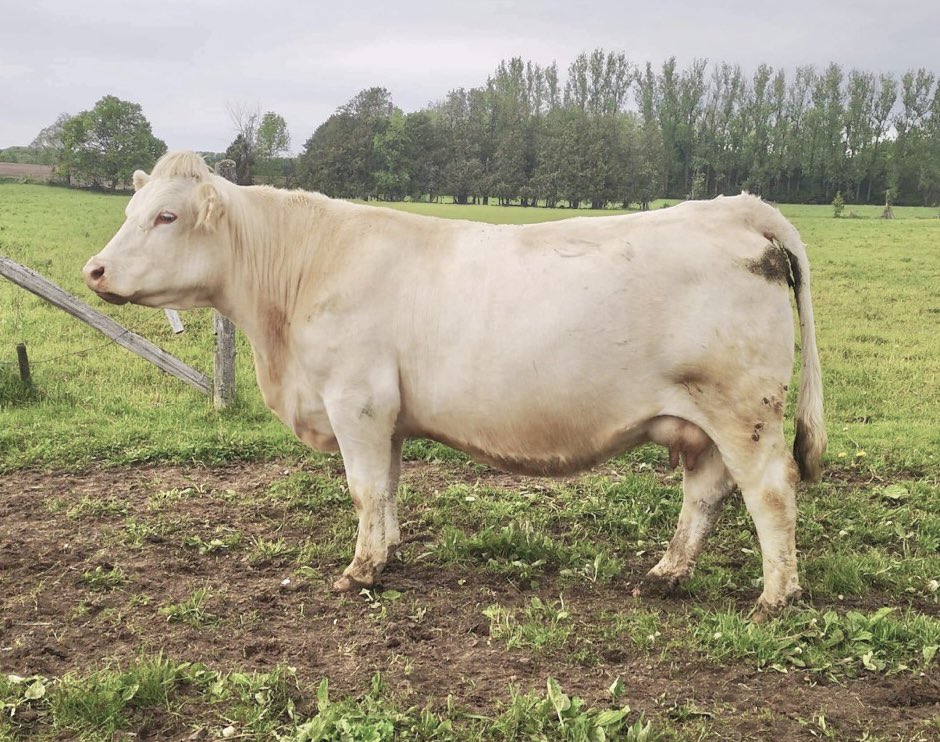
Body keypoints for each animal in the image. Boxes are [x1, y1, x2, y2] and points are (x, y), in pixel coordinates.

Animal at [84, 151, 826, 620]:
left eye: (166, 217)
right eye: (130, 209)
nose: (93, 270)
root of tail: (735, 208)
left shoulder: (355, 400)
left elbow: (363, 488)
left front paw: (359, 571)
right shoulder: (387, 412)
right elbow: (387, 487)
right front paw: (387, 553)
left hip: (743, 409)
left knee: (770, 491)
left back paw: (775, 598)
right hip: (703, 420)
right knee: (705, 493)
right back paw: (666, 574)